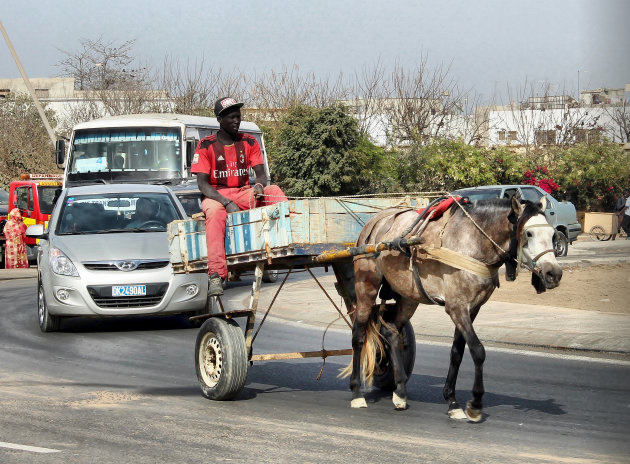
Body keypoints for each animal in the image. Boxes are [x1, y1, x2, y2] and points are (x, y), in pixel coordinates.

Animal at [350, 196, 564, 420]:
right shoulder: (456, 307)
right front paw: (475, 403)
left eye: (552, 234)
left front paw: (451, 400)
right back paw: (356, 392)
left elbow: (457, 352)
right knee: (358, 336)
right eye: (528, 234)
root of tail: (374, 222)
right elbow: (477, 350)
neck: (473, 242)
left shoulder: (472, 308)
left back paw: (399, 391)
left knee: (390, 331)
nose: (553, 273)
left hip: (409, 296)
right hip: (367, 288)